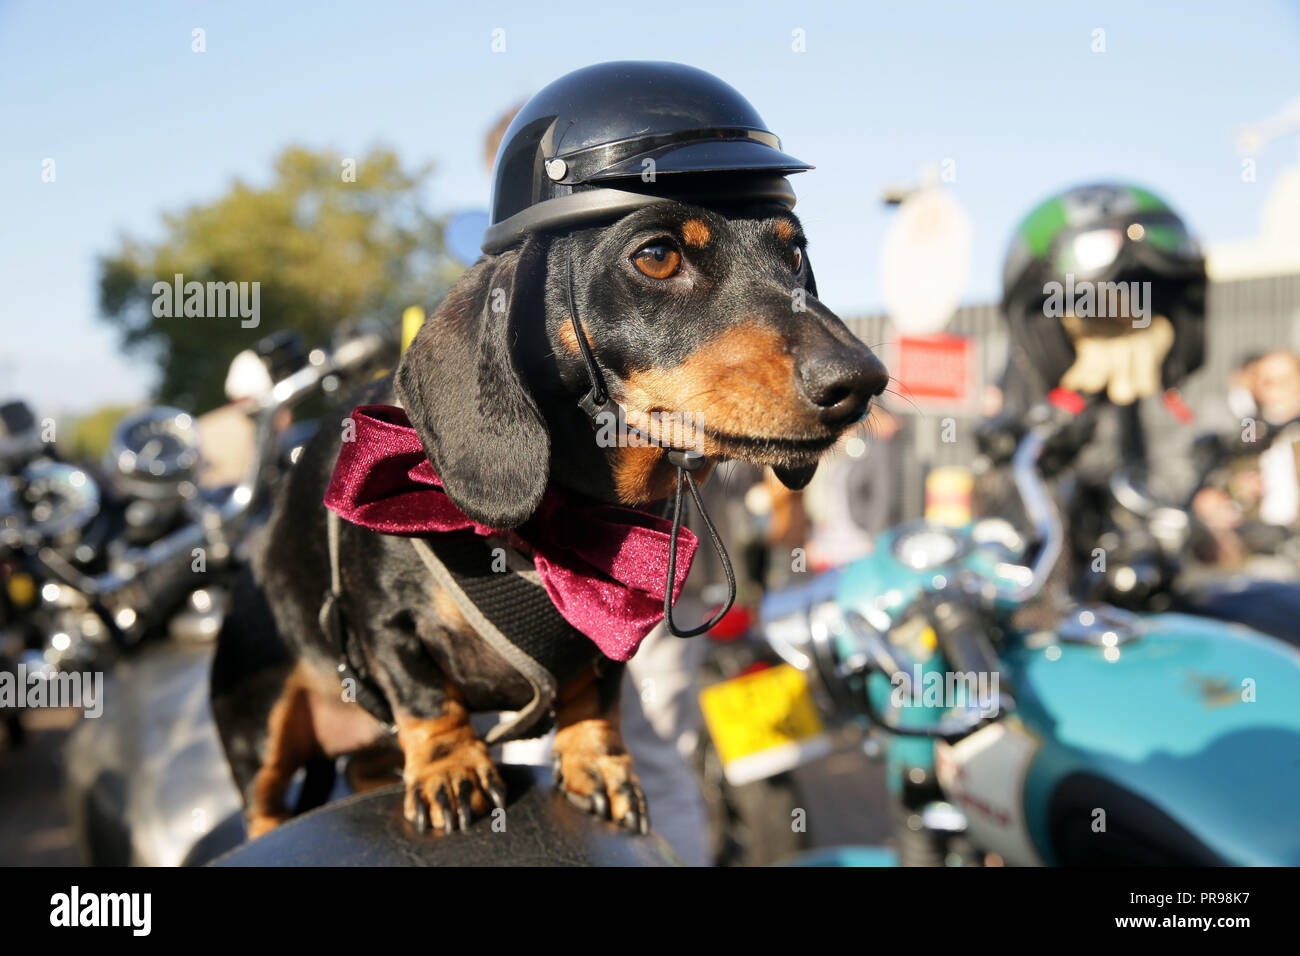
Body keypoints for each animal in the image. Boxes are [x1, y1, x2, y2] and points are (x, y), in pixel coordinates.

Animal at [213, 200, 889, 837]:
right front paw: (451, 768)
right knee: (265, 805)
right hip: (260, 720)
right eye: (657, 256)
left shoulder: (612, 632)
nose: (863, 381)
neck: (558, 519)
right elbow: (426, 700)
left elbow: (595, 698)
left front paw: (597, 763)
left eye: (794, 252)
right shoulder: (383, 621)